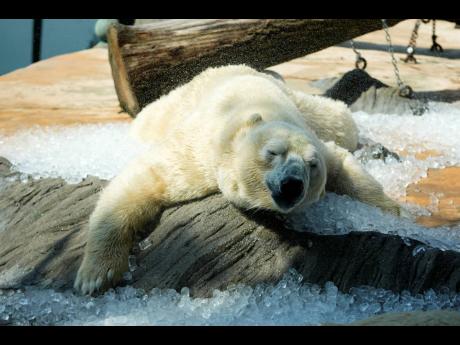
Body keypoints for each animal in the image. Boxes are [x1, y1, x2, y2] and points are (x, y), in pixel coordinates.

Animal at [73, 63, 400, 292]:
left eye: (311, 165)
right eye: (272, 152)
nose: (292, 183)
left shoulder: (315, 141)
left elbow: (343, 165)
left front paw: (395, 212)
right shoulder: (202, 154)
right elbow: (145, 178)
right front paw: (95, 275)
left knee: (341, 120)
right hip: (172, 109)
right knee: (147, 119)